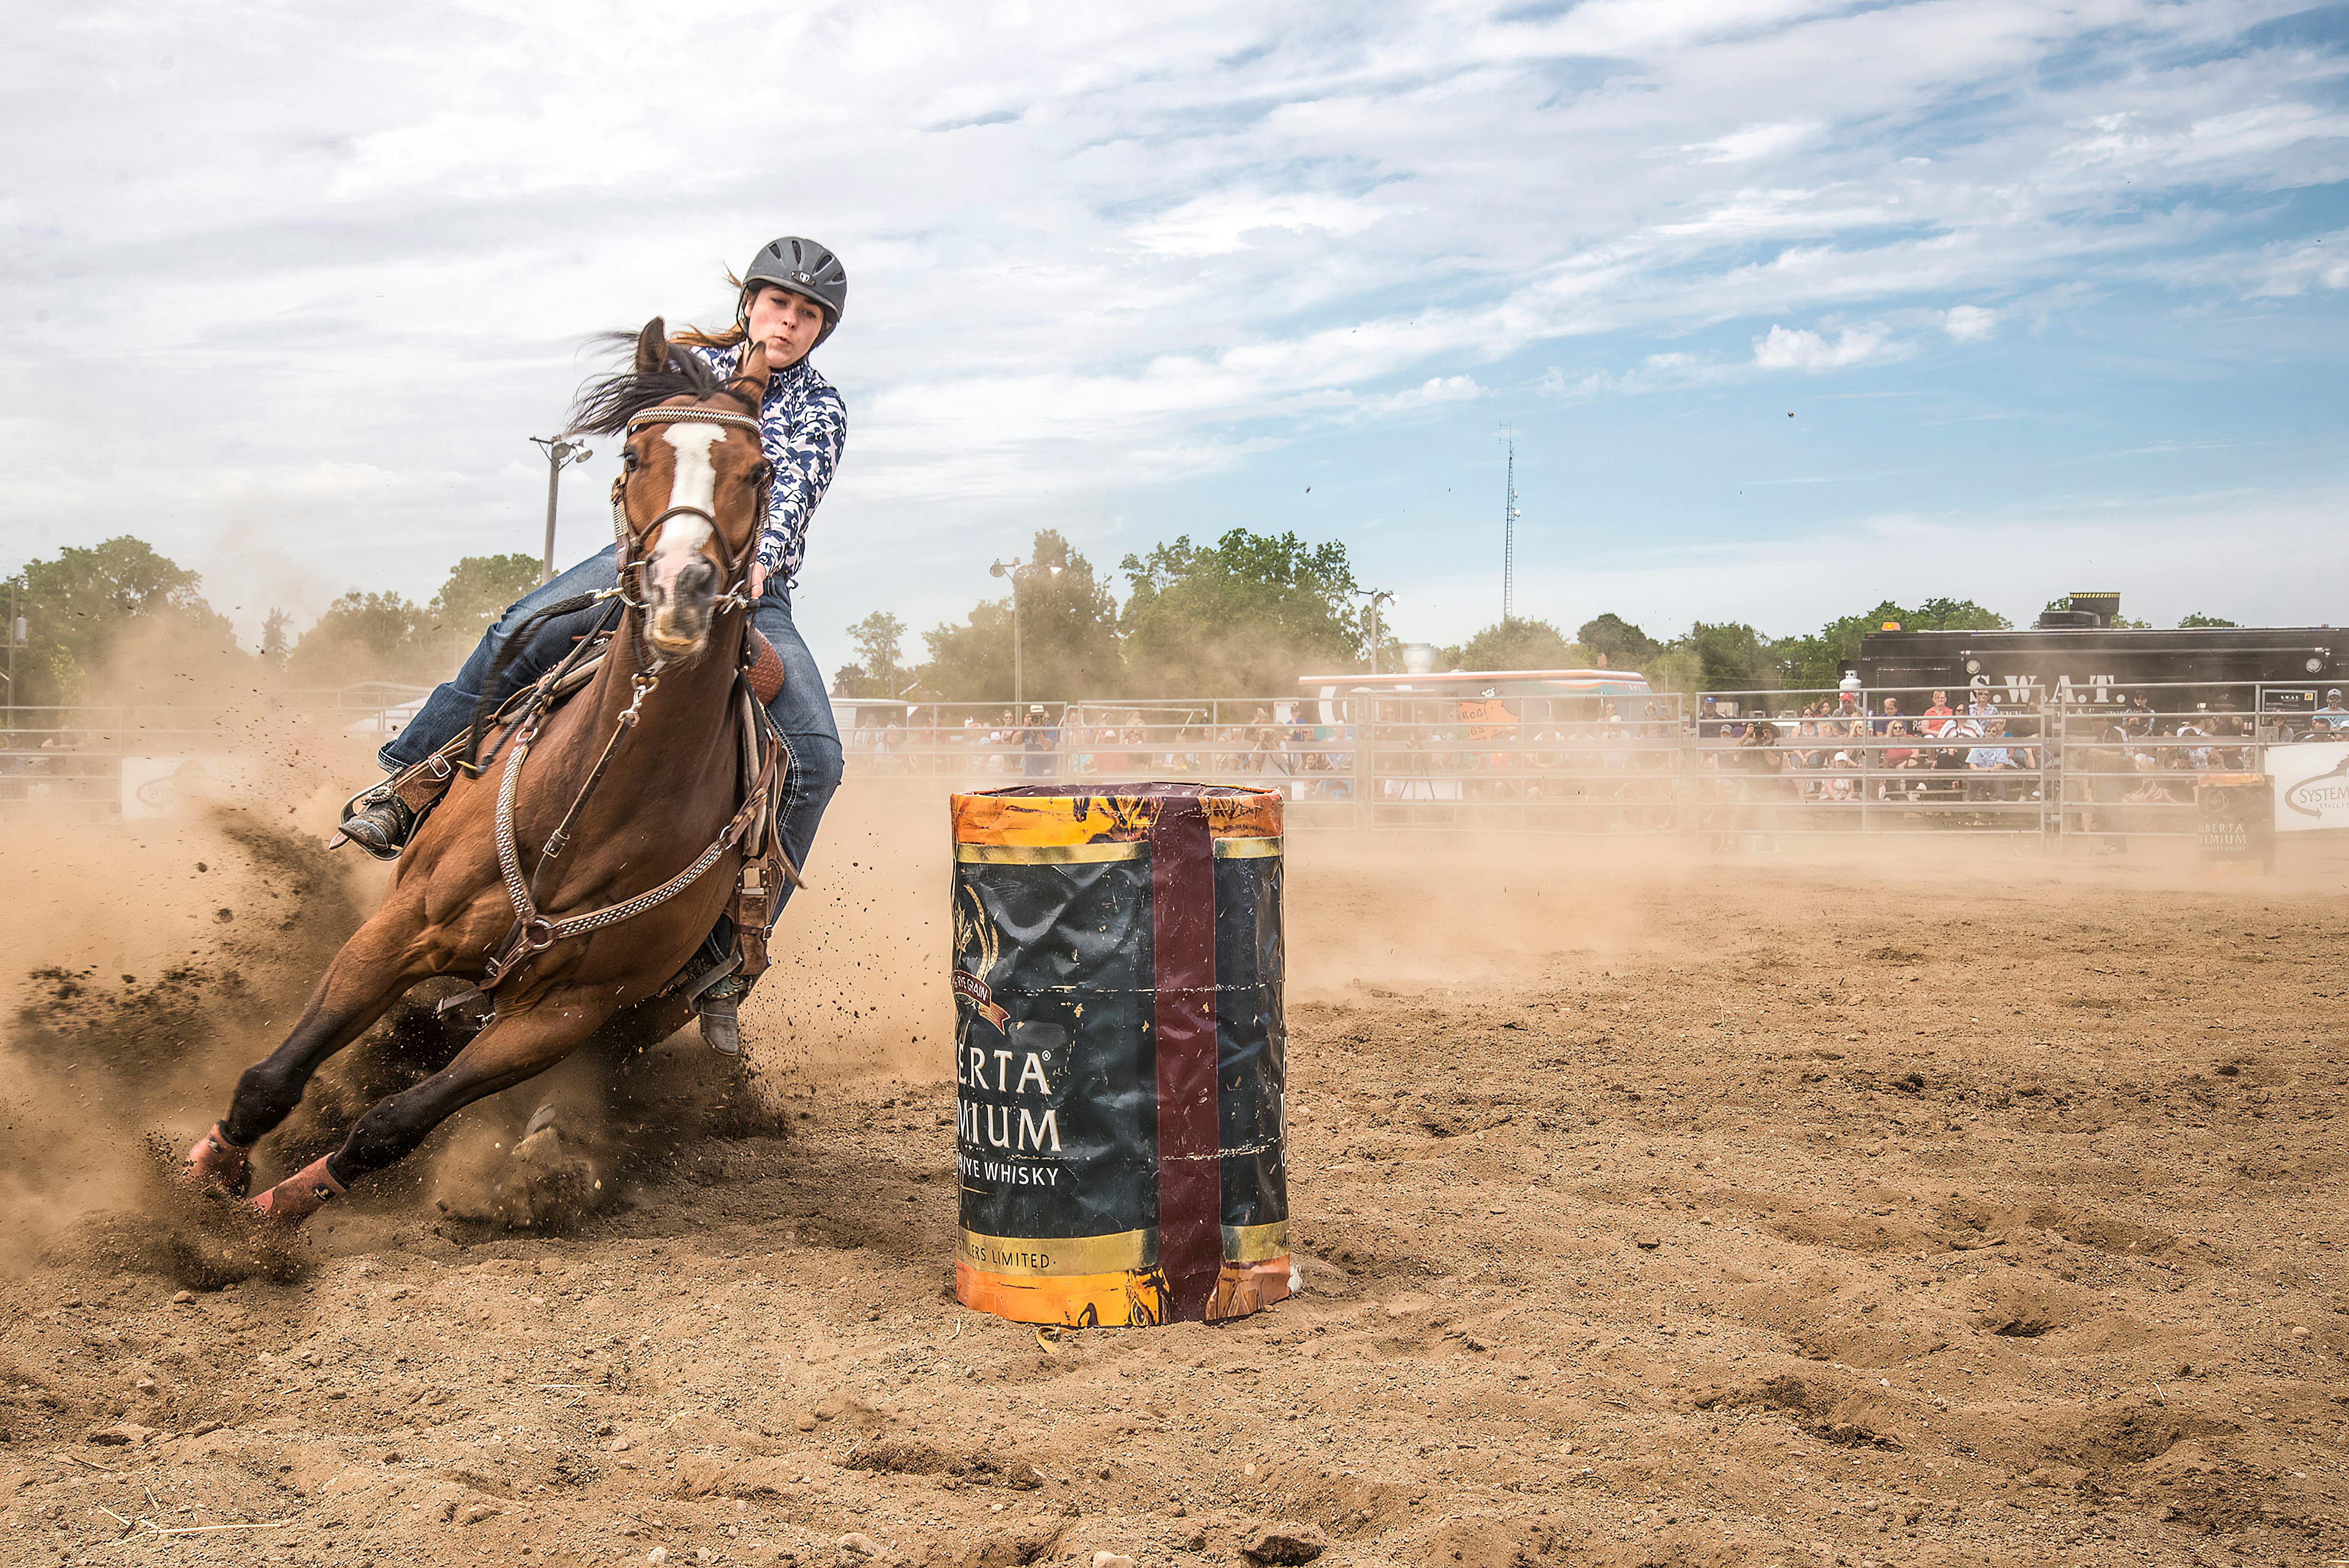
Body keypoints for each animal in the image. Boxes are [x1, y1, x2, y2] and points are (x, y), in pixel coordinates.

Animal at [183, 322, 784, 1221]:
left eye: (760, 470)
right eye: (635, 453)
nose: (682, 587)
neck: (591, 806)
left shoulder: (562, 1017)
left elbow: (391, 1126)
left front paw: (276, 1211)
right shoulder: (399, 930)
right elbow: (273, 1075)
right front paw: (208, 1176)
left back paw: (546, 1155)